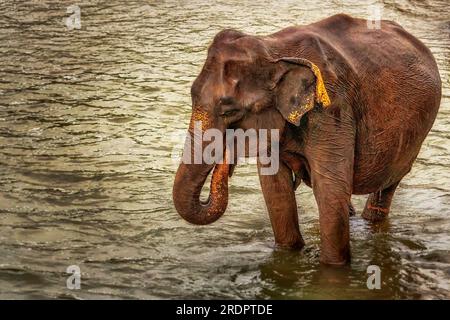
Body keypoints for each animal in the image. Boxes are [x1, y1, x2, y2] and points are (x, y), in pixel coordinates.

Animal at [172, 14, 442, 264]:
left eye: (229, 111)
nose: (228, 156)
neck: (273, 51)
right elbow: (276, 189)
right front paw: (288, 255)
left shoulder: (331, 110)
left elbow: (330, 189)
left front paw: (333, 268)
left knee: (387, 185)